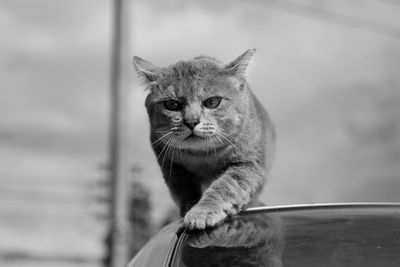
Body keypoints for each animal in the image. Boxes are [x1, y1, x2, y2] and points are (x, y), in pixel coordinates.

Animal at [133, 48, 274, 230]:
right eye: (172, 105)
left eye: (213, 102)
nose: (191, 122)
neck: (203, 156)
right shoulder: (173, 168)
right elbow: (185, 191)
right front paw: (189, 210)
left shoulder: (248, 165)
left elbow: (225, 186)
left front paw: (202, 212)